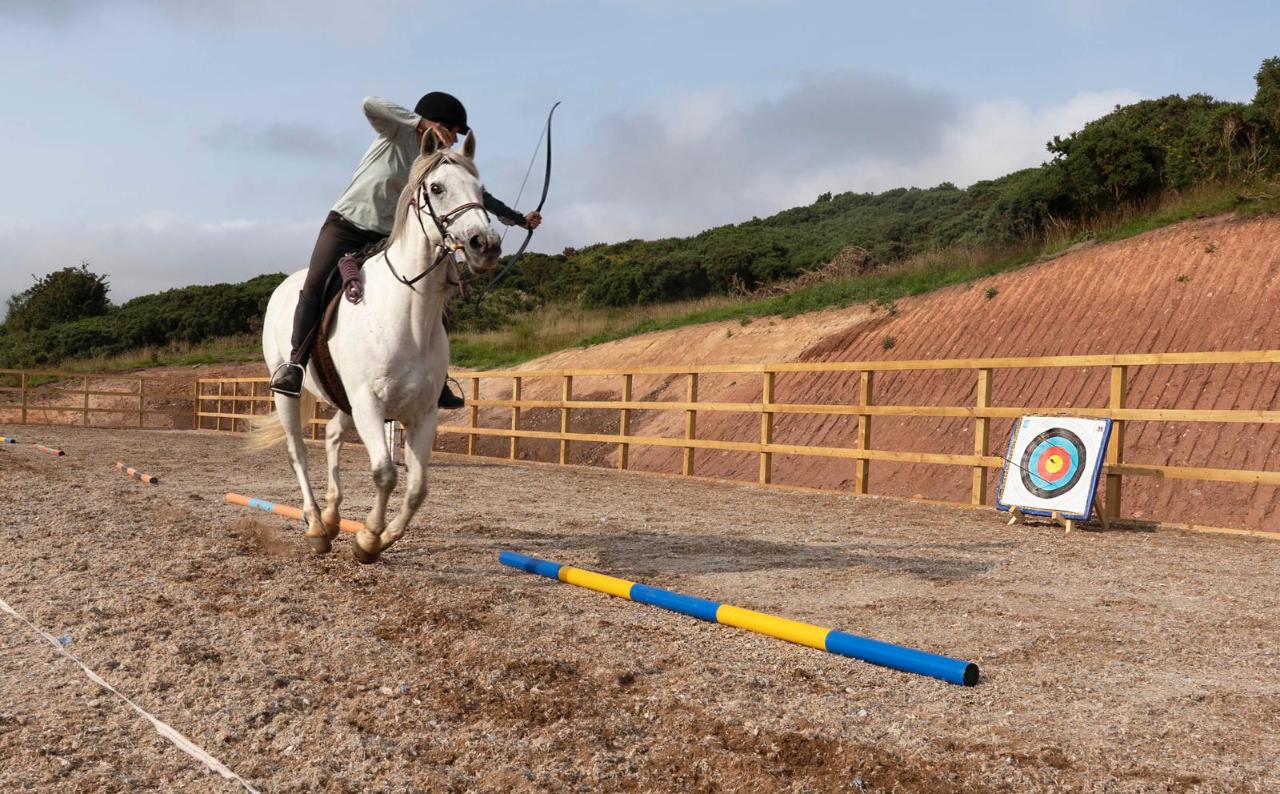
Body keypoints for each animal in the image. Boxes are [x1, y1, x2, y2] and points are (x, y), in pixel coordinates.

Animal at [250, 131, 499, 563]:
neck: (406, 316)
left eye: (482, 191)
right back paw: (316, 526)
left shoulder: (422, 413)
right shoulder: (369, 404)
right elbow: (385, 473)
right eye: (437, 188)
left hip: (345, 402)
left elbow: (417, 487)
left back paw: (332, 517)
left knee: (332, 435)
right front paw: (367, 540)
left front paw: (380, 538)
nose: (484, 244)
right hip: (289, 393)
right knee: (298, 452)